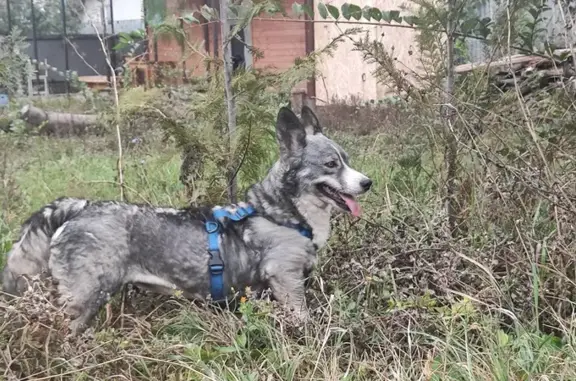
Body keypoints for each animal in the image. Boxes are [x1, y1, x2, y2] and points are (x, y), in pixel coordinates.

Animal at [1, 105, 374, 334]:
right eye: (331, 165)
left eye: (347, 160)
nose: (367, 182)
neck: (282, 212)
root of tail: (80, 207)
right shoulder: (287, 281)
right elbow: (303, 318)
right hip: (84, 300)